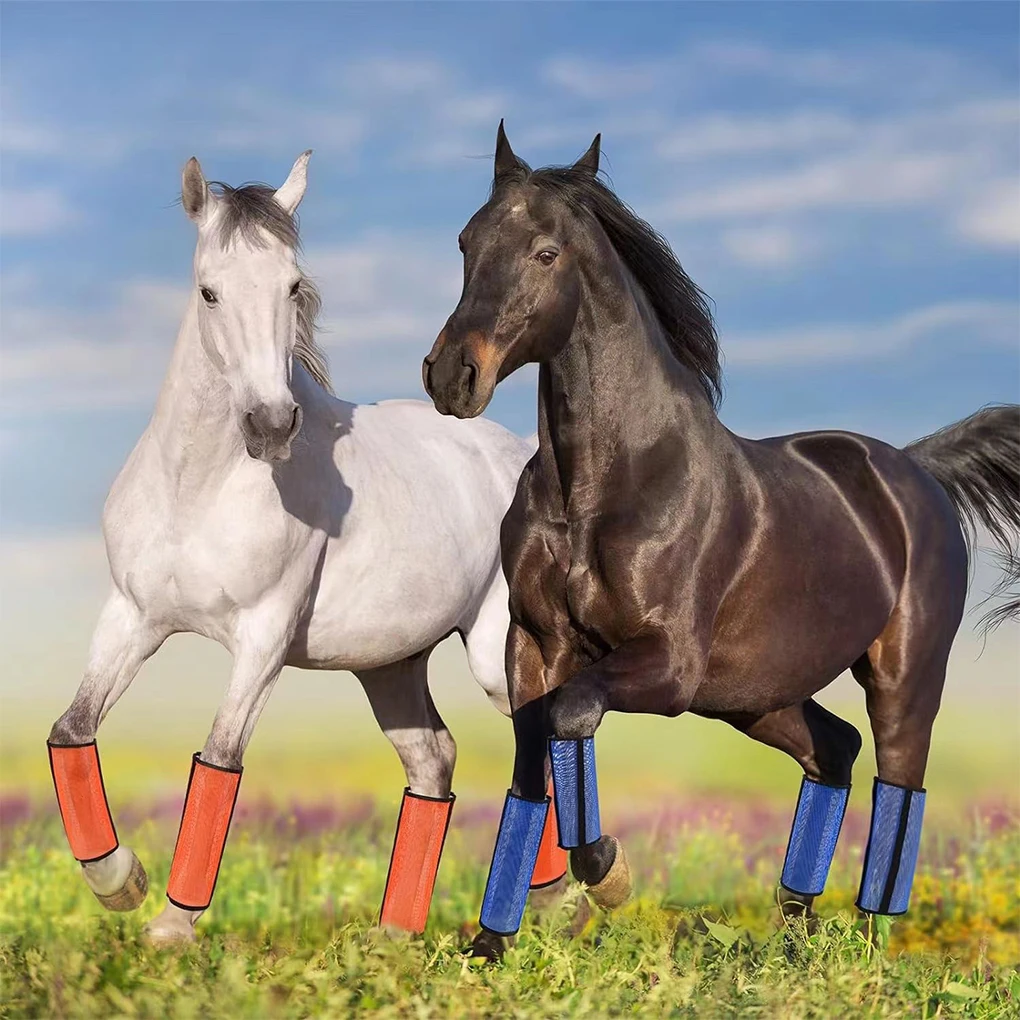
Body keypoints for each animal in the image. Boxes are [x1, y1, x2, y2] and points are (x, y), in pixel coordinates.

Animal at [45, 151, 570, 946]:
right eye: (209, 291)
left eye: (293, 285)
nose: (270, 424)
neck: (198, 489)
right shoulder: (133, 617)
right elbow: (71, 730)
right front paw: (119, 882)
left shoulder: (262, 637)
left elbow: (221, 756)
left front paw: (171, 927)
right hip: (389, 666)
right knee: (434, 760)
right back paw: (396, 935)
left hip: (493, 653)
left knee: (536, 743)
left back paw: (572, 895)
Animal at [422, 122, 1020, 960]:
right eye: (466, 242)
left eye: (546, 252)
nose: (452, 375)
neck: (604, 487)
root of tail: (917, 471)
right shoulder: (535, 647)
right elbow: (528, 770)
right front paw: (488, 947)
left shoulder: (666, 663)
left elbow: (573, 716)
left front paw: (608, 874)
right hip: (751, 694)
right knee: (835, 749)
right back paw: (798, 934)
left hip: (902, 677)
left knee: (900, 786)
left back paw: (869, 947)